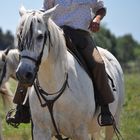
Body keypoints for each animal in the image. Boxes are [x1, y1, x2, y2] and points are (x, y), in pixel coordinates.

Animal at [15, 6, 124, 139]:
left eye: (40, 36)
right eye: (19, 36)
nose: (23, 74)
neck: (53, 89)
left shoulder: (80, 132)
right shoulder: (41, 132)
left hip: (113, 122)